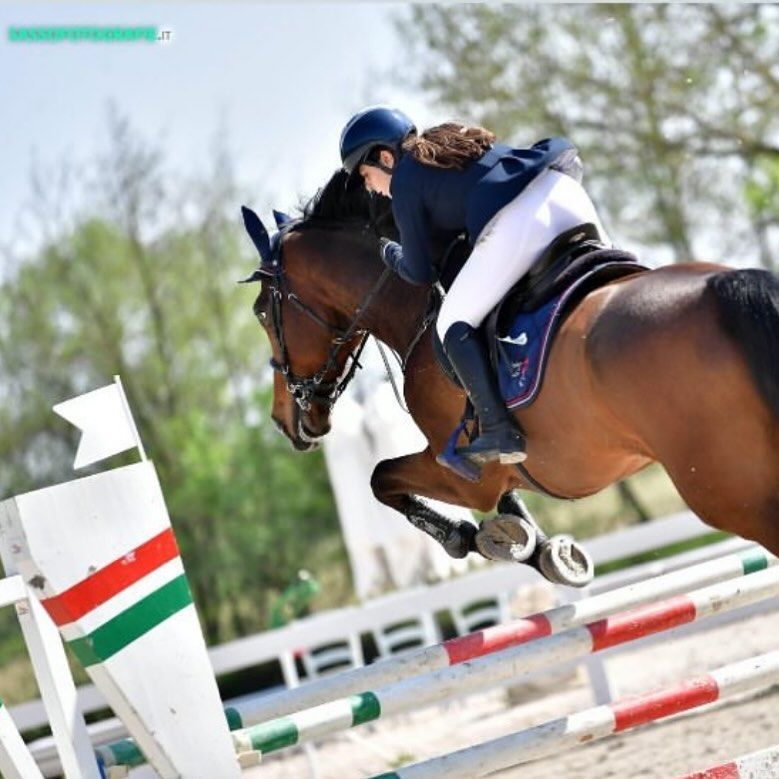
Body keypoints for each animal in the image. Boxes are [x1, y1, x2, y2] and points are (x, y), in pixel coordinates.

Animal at [241, 169, 779, 587]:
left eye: (262, 313)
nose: (284, 420)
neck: (415, 311)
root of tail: (730, 289)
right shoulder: (489, 471)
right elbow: (507, 499)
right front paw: (542, 553)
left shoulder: (463, 475)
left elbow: (381, 479)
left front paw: (469, 538)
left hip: (736, 496)